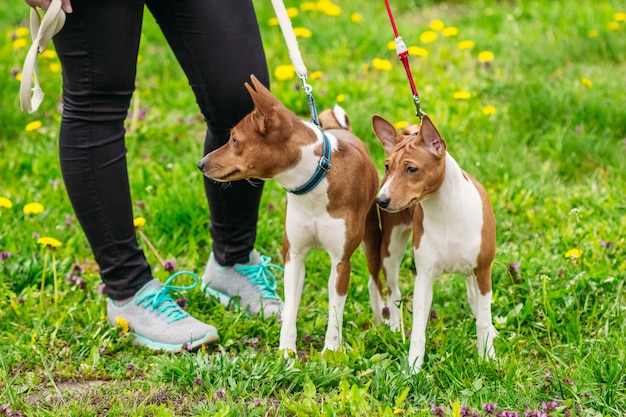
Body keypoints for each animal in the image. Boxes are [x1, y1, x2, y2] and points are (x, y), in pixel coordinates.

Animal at [195, 75, 380, 352]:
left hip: (374, 239)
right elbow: (291, 309)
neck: (316, 177)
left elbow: (335, 314)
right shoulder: (293, 256)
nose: (201, 163)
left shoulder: (341, 262)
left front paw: (330, 353)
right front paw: (286, 352)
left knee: (378, 282)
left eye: (235, 140)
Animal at [370, 113, 498, 370]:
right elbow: (419, 329)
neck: (446, 212)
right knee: (393, 292)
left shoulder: (482, 270)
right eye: (387, 167)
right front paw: (413, 367)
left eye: (411, 169)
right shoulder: (425, 277)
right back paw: (395, 327)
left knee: (474, 298)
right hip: (390, 249)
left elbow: (483, 317)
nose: (381, 200)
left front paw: (487, 356)